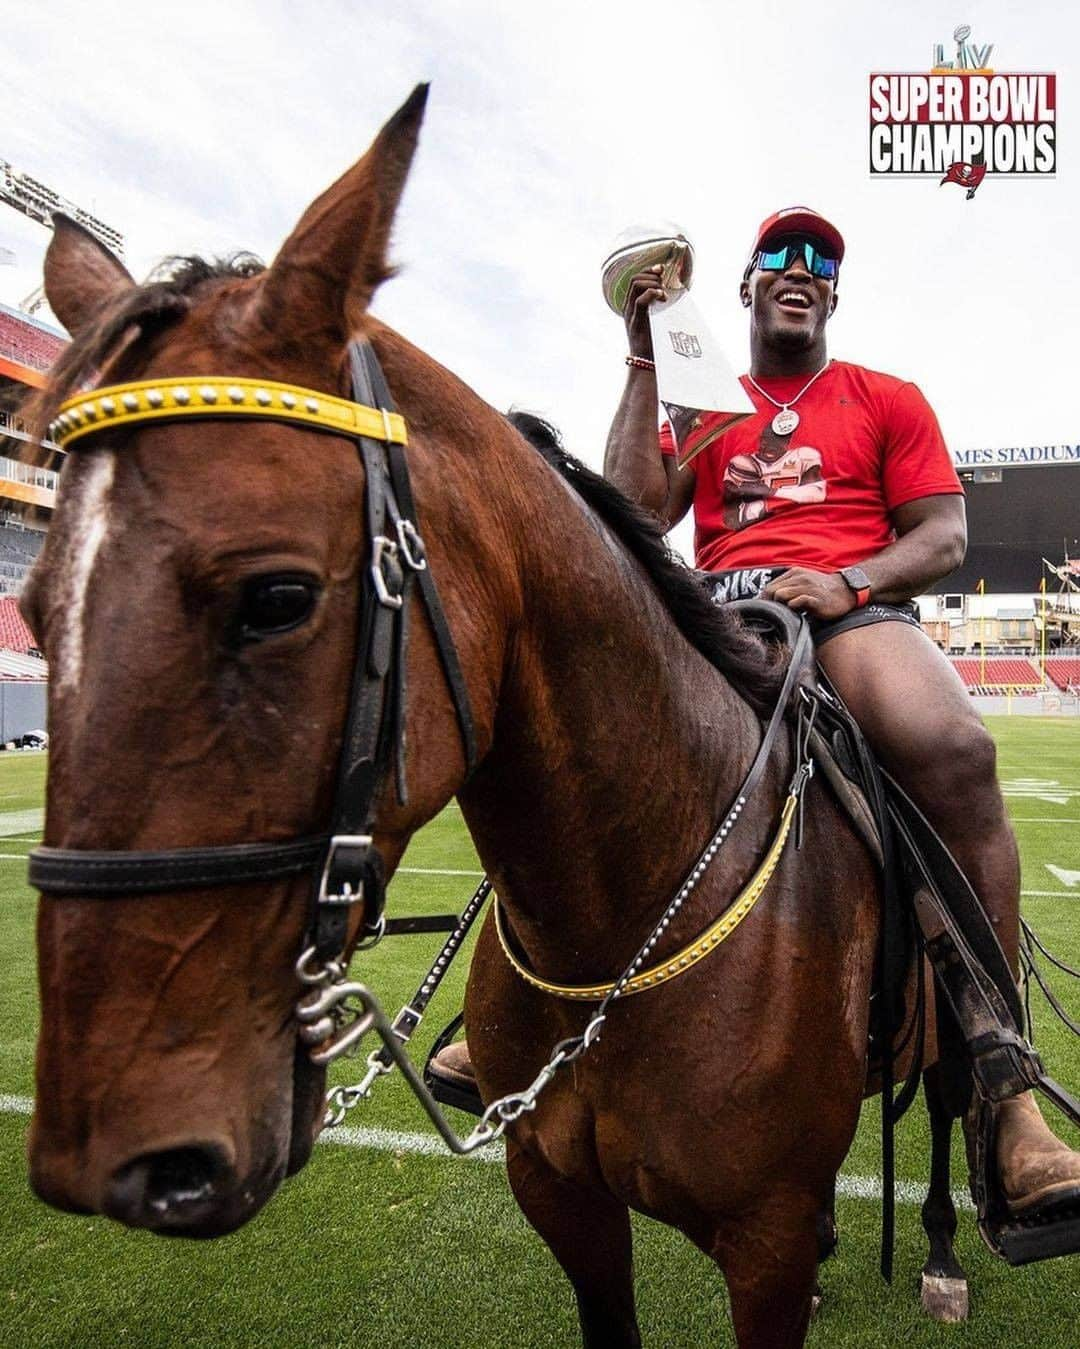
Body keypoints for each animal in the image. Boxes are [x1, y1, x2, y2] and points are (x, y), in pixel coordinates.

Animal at [23, 87, 954, 1349]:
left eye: (277, 597)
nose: (111, 1155)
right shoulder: (559, 1189)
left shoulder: (756, 1241)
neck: (621, 917)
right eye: (32, 608)